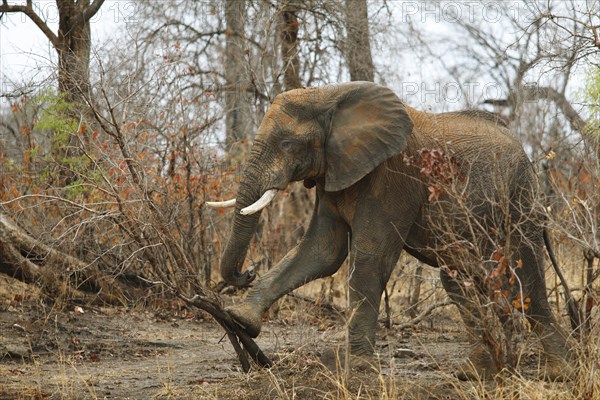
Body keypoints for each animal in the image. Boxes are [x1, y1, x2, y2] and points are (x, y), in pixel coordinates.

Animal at [207, 81, 572, 382]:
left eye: (287, 144)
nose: (248, 270)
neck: (330, 96)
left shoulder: (393, 177)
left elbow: (369, 257)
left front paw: (358, 368)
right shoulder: (335, 173)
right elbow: (322, 253)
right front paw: (241, 319)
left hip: (519, 198)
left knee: (525, 278)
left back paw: (556, 373)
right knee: (461, 279)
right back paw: (479, 372)